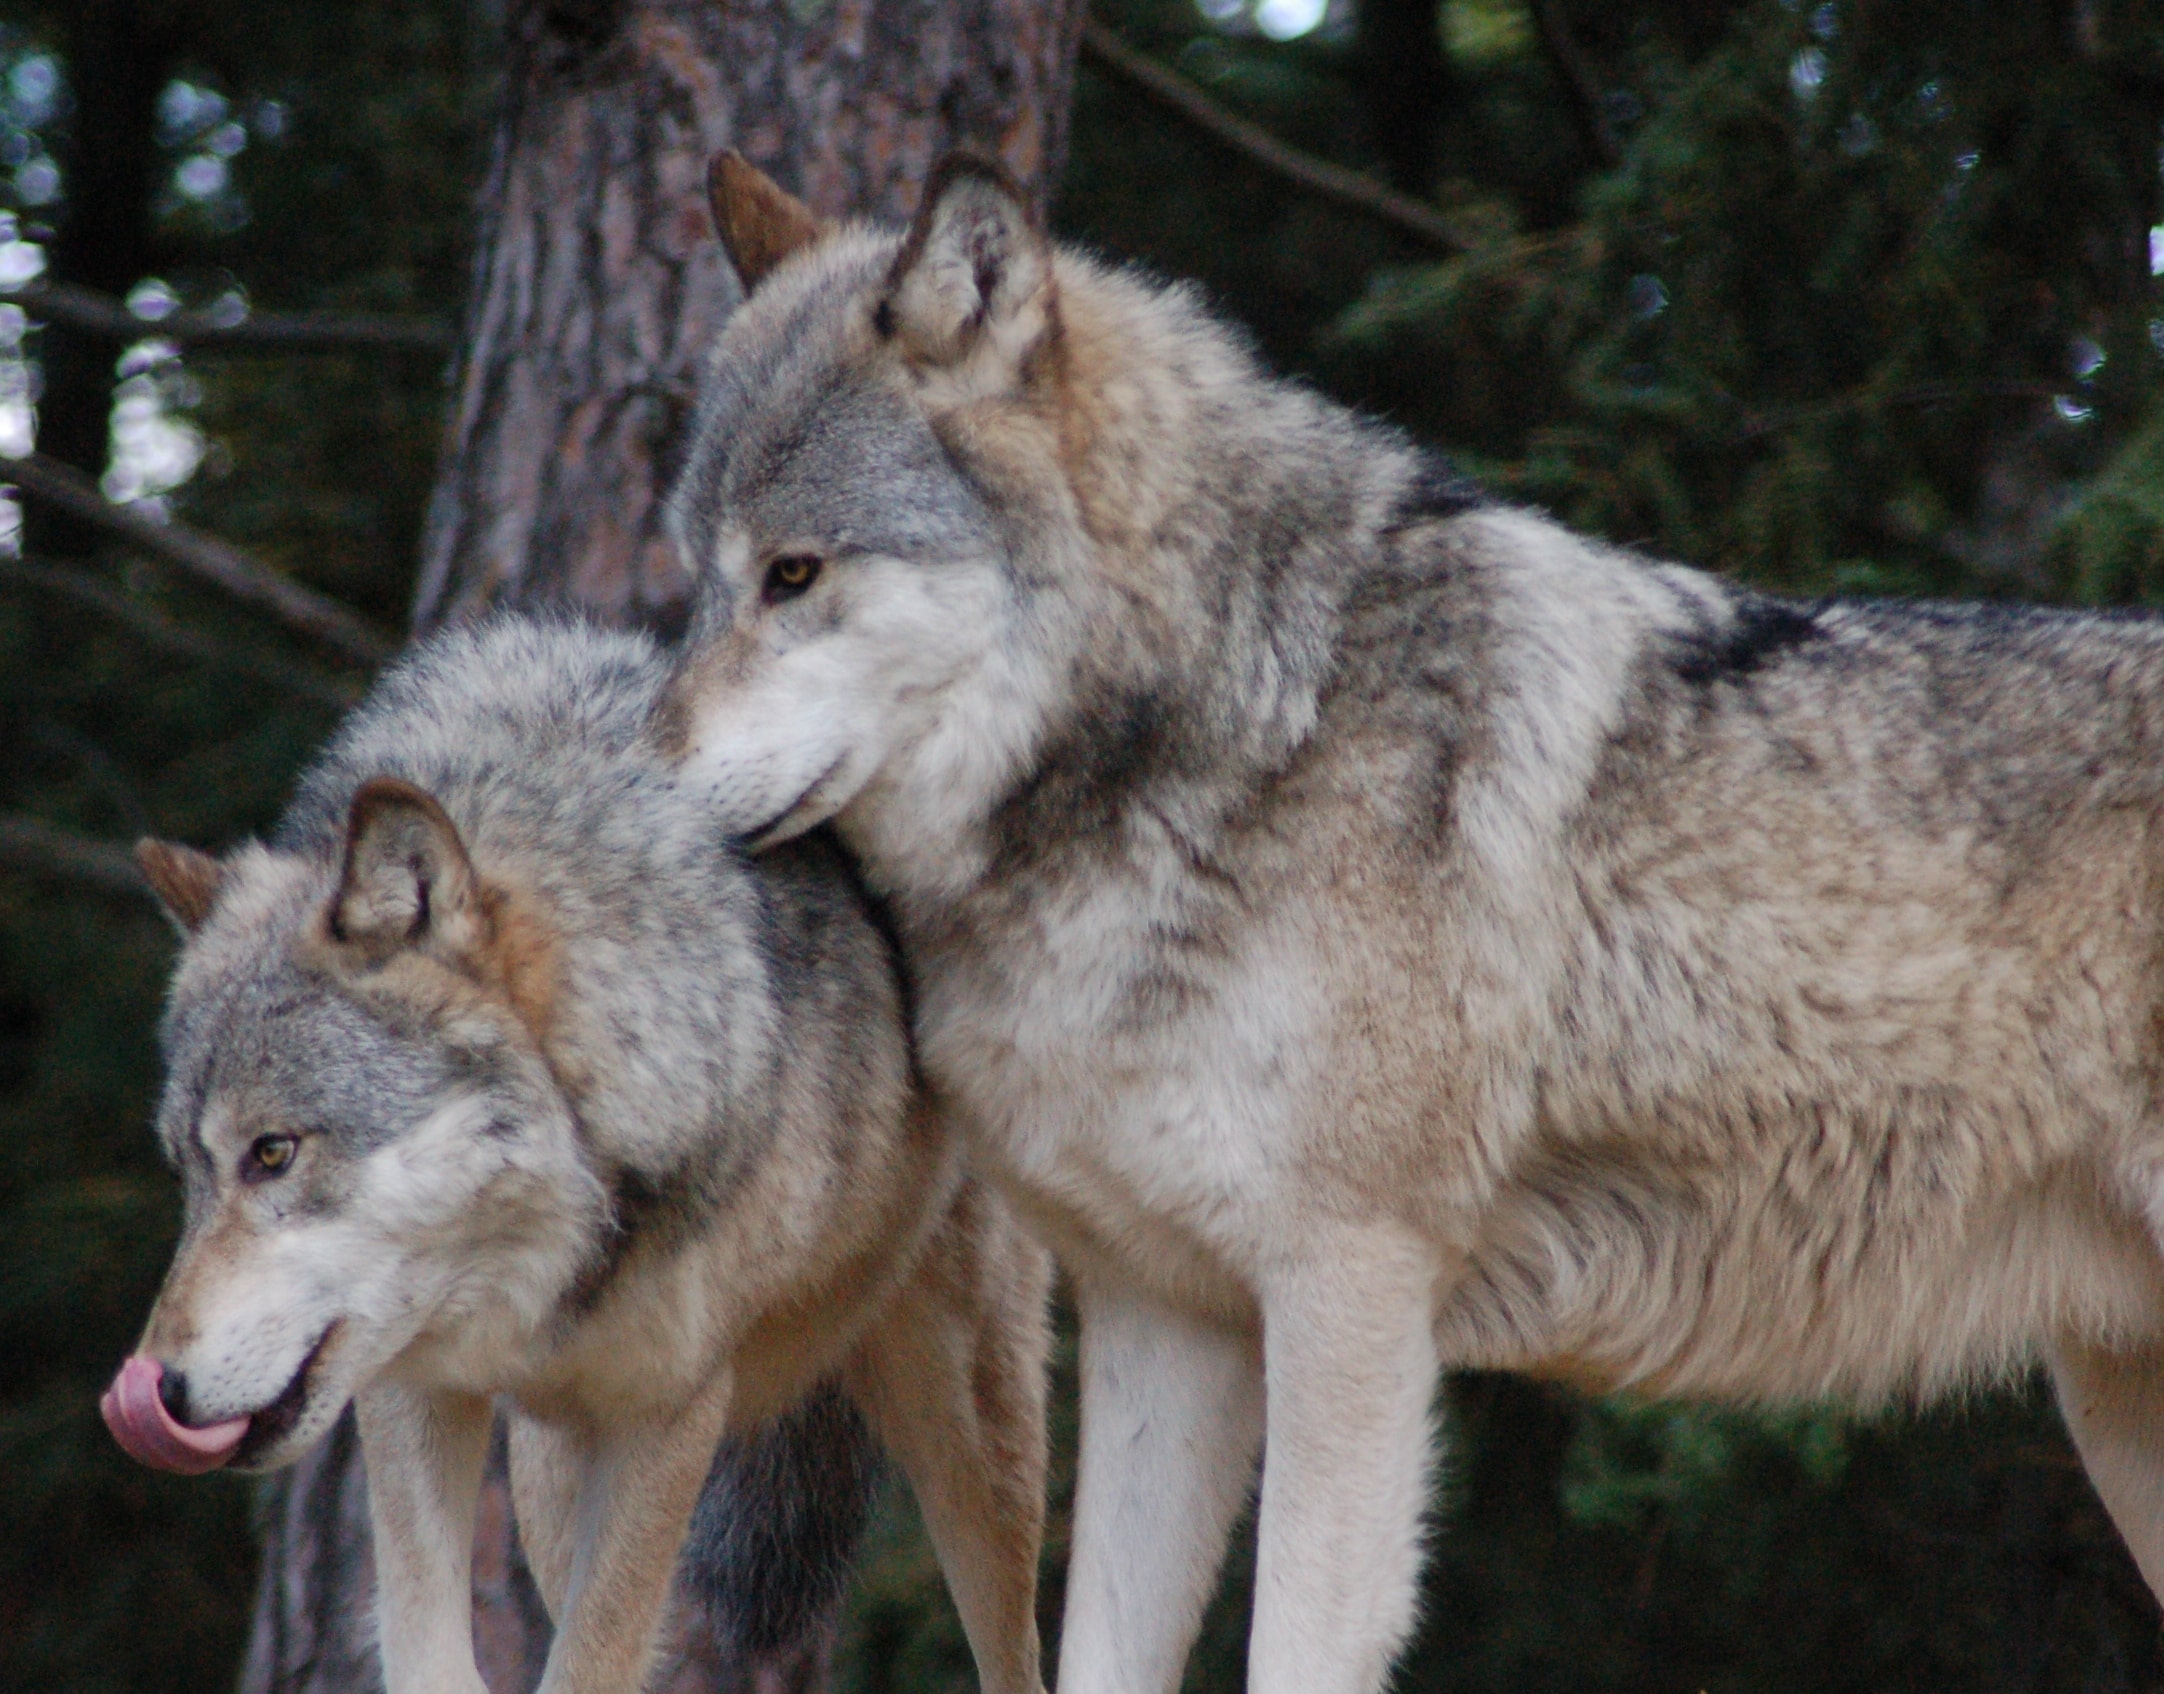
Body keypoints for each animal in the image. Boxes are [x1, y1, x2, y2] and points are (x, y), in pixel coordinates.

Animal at [101, 614, 1047, 1694]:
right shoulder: (412, 1388)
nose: (159, 1389)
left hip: (973, 1438)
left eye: (272, 1152)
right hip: (550, 1470)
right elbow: (431, 1647)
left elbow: (593, 1659)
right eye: (189, 1172)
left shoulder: (668, 1413)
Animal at [653, 149, 2164, 1694]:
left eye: (794, 573)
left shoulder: (1352, 1294)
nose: (638, 785)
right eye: (702, 577)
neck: (1227, 728)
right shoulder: (1162, 1320)